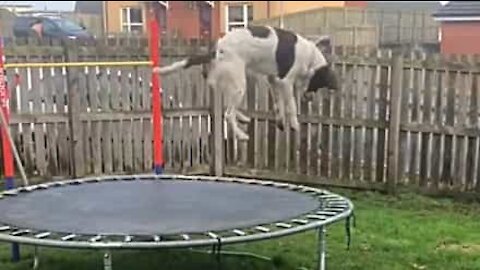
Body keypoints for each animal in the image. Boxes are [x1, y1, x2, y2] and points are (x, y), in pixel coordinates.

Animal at [154, 25, 338, 140]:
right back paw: (241, 135)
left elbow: (279, 102)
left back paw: (242, 117)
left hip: (232, 83)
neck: (310, 58)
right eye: (318, 84)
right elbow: (291, 105)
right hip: (239, 84)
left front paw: (280, 121)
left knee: (229, 108)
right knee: (228, 114)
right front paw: (294, 125)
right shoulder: (285, 81)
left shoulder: (273, 80)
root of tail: (215, 51)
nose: (310, 98)